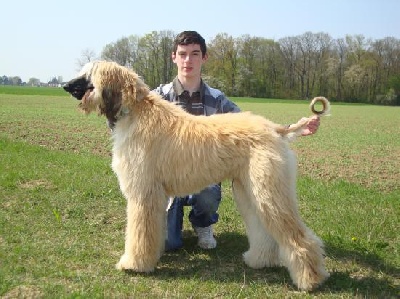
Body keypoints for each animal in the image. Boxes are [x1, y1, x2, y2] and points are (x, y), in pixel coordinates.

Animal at [64, 60, 330, 290]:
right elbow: (152, 231)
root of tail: (276, 129)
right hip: (250, 189)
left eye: (89, 73)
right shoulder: (154, 196)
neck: (136, 111)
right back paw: (259, 260)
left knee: (298, 237)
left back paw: (310, 279)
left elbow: (139, 232)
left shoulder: (143, 191)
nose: (65, 86)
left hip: (268, 189)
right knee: (262, 229)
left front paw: (134, 264)